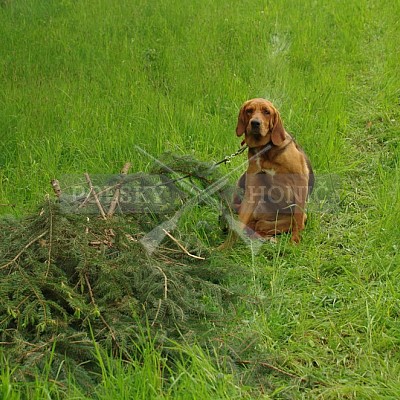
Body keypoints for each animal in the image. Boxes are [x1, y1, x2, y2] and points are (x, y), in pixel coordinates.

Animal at [233, 99, 314, 244]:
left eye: (267, 112)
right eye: (249, 111)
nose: (255, 123)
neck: (264, 149)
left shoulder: (301, 180)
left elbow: (298, 221)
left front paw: (295, 242)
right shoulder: (252, 188)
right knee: (256, 224)